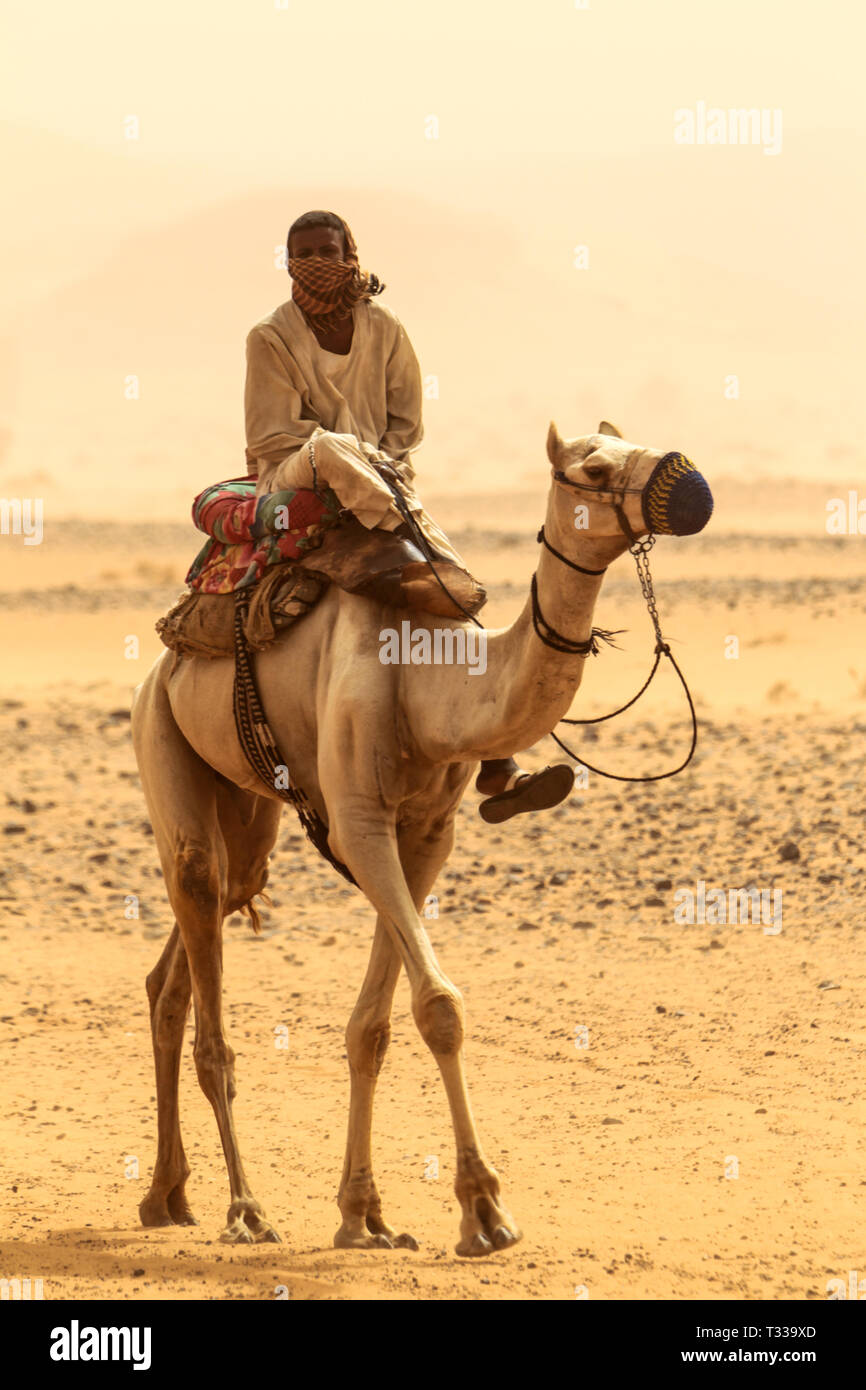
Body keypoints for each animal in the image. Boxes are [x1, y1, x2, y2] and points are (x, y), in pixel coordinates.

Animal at [128, 417, 711, 1256]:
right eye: (595, 467)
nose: (691, 482)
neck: (429, 677)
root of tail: (161, 666)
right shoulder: (360, 820)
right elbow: (439, 1005)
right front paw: (485, 1211)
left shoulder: (427, 833)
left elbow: (373, 1027)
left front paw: (364, 1215)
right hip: (162, 737)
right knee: (204, 947)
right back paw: (244, 1208)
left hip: (246, 810)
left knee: (190, 946)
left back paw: (166, 1195)